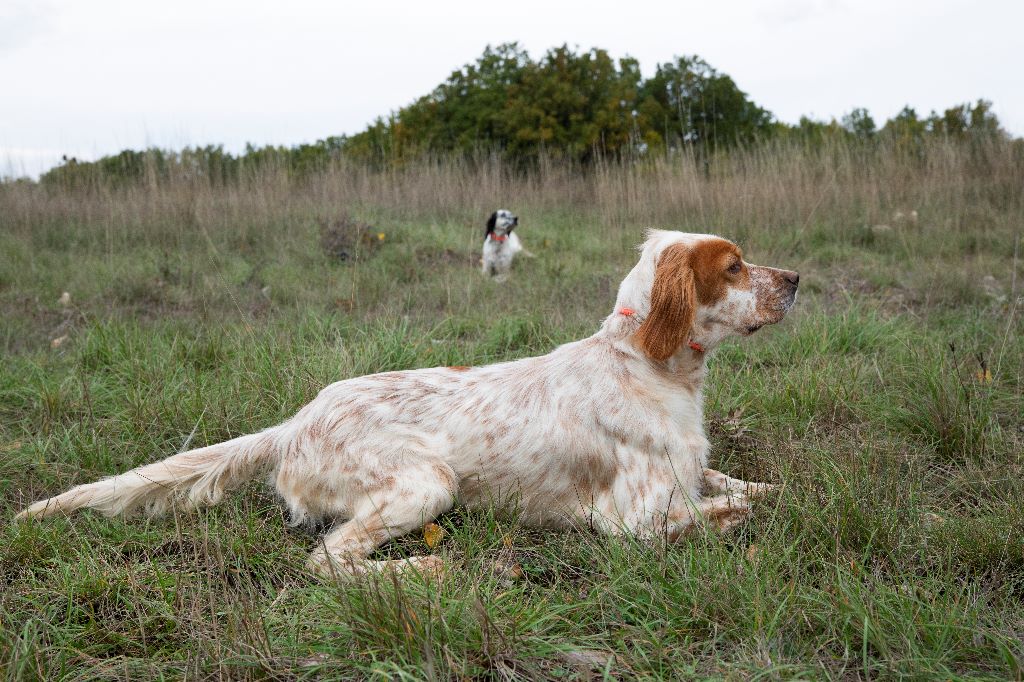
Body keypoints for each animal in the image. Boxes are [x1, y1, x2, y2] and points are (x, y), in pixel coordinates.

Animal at [14, 228, 798, 573]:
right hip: (428, 482)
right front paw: (730, 516)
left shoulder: (690, 466)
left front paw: (768, 489)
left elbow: (743, 483)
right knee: (327, 560)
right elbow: (704, 515)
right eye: (734, 267)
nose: (794, 279)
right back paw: (418, 569)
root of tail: (295, 422)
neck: (651, 367)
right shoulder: (625, 521)